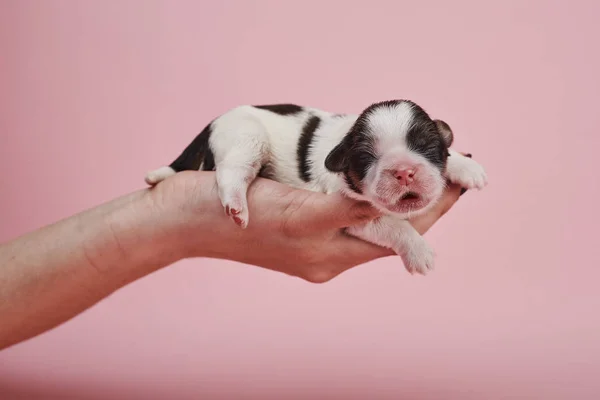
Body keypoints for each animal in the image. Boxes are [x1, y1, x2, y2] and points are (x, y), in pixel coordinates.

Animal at [146, 100, 488, 276]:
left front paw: (467, 167)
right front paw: (419, 252)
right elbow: (393, 225)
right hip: (246, 138)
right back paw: (236, 205)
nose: (404, 172)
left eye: (427, 147)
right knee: (232, 171)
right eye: (367, 158)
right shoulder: (350, 211)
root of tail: (213, 122)